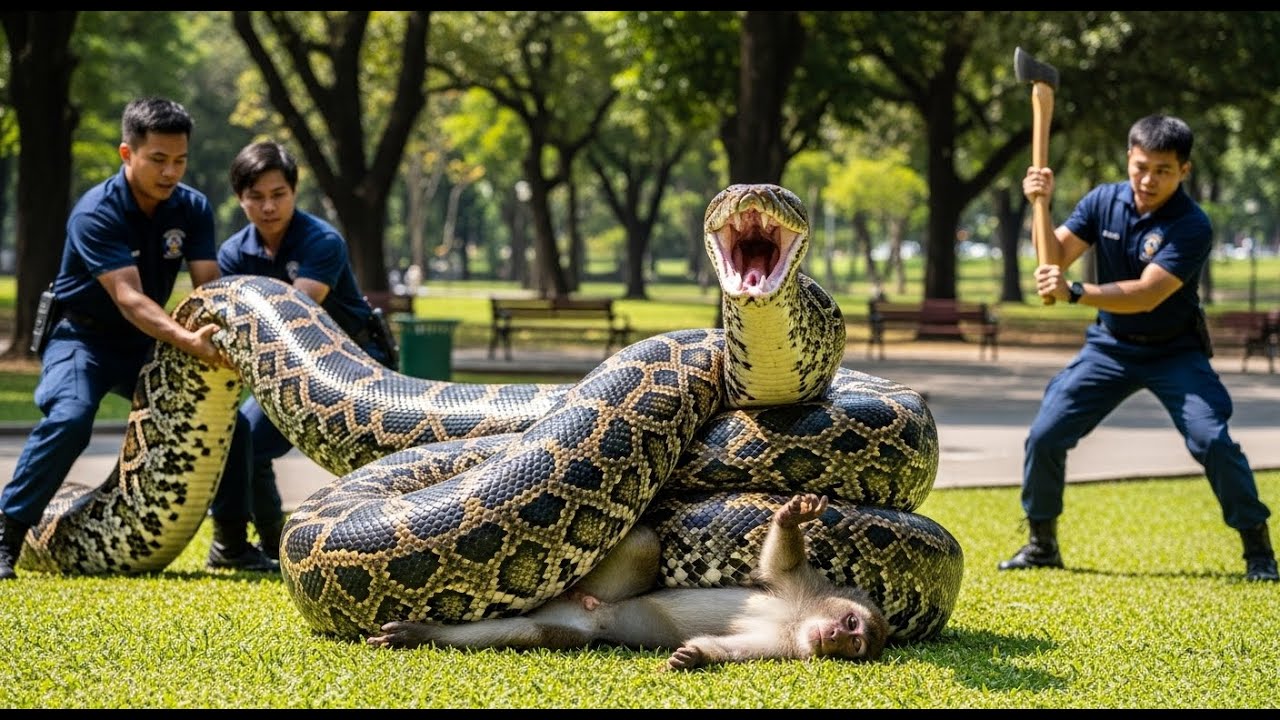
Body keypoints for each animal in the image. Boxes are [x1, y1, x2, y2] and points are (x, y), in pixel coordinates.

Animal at [366, 493, 890, 671]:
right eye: (851, 624)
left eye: (856, 645)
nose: (836, 636)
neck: (799, 620)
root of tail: (585, 607)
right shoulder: (802, 586)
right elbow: (778, 560)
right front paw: (792, 516)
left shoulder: (784, 650)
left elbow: (729, 650)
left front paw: (695, 656)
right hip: (614, 572)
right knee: (641, 539)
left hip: (566, 631)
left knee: (517, 633)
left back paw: (420, 634)